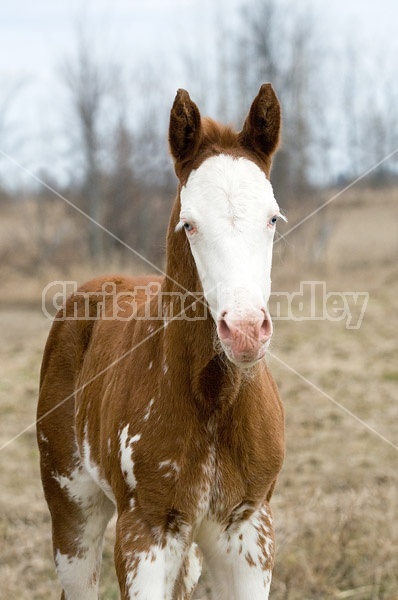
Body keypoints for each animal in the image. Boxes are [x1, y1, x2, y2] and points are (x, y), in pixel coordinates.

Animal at [37, 84, 284, 600]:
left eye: (273, 218)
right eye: (189, 223)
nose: (245, 329)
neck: (213, 400)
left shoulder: (249, 532)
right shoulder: (145, 532)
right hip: (71, 511)